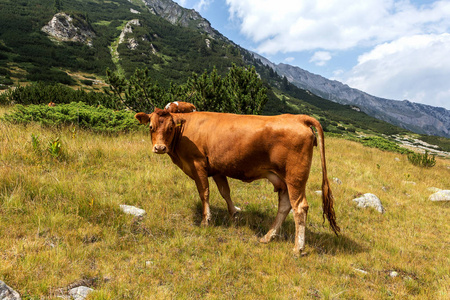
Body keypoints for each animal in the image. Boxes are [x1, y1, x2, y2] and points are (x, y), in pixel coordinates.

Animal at [135, 108, 340, 253]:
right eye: (151, 127)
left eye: (170, 128)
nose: (160, 148)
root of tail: (298, 117)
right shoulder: (217, 168)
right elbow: (225, 192)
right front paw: (234, 214)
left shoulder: (198, 164)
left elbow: (204, 193)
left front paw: (206, 220)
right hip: (283, 180)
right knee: (285, 205)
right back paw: (268, 236)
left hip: (295, 177)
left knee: (299, 207)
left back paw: (298, 248)